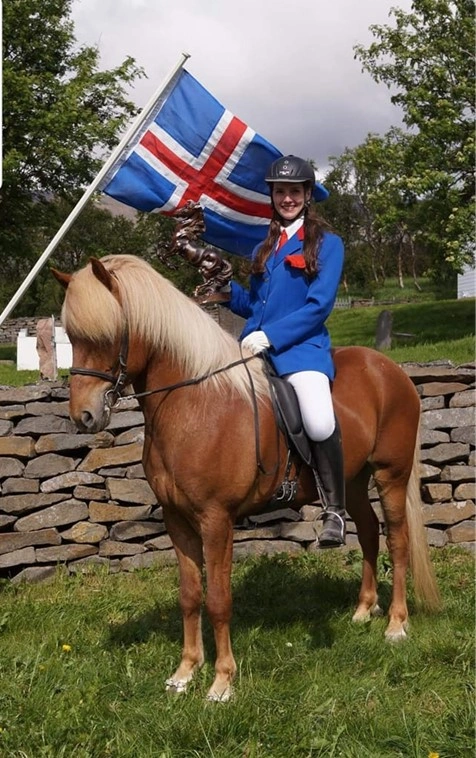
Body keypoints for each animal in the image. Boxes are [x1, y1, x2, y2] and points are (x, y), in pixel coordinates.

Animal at [52, 254, 440, 702]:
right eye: (71, 337)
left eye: (107, 336)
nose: (84, 417)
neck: (195, 402)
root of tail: (390, 370)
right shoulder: (176, 519)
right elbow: (190, 595)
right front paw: (185, 672)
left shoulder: (216, 519)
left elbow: (219, 599)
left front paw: (222, 682)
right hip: (354, 480)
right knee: (367, 533)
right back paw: (363, 610)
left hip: (390, 475)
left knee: (397, 540)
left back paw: (396, 624)